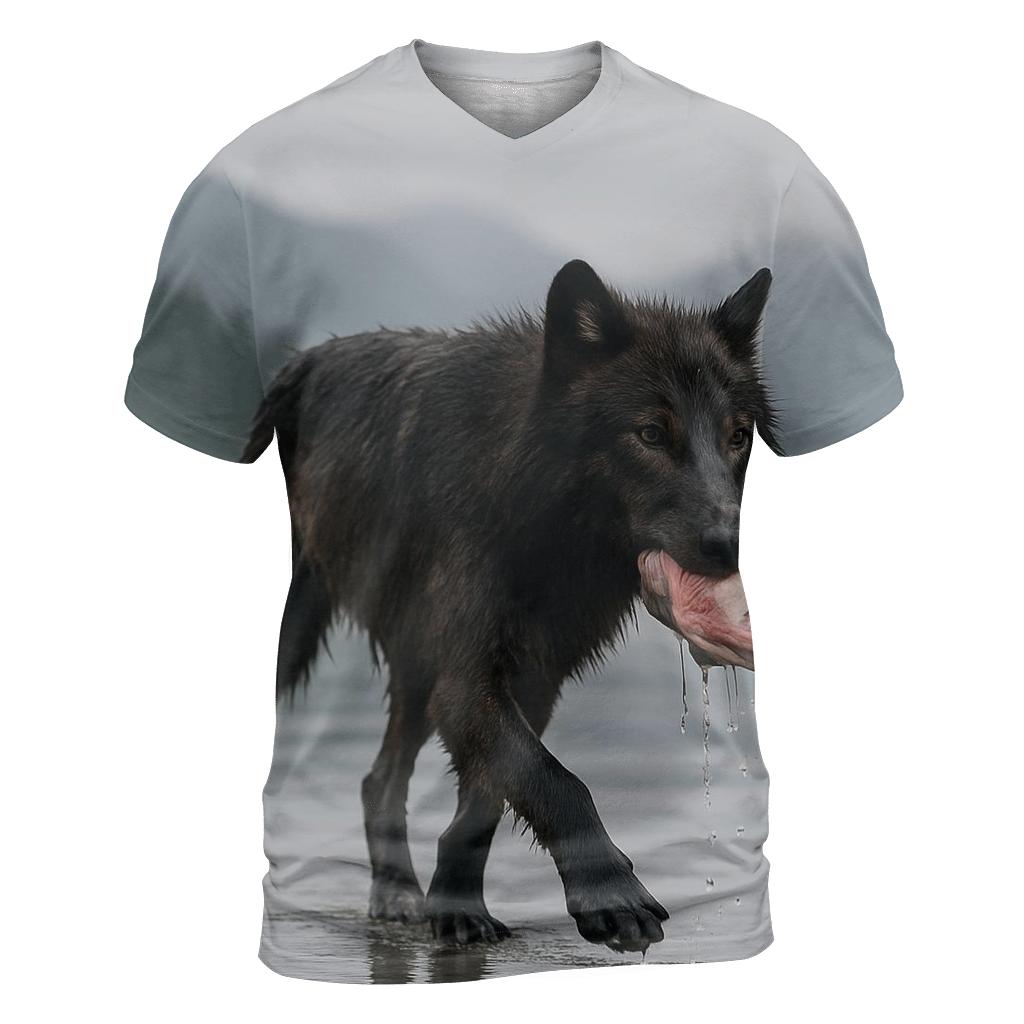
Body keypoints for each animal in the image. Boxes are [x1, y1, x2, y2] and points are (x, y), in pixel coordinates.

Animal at [243, 259, 779, 954]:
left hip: (417, 670)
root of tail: (303, 360)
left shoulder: (533, 678)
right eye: (651, 433)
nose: (730, 546)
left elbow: (489, 801)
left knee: (379, 778)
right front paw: (613, 894)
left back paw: (401, 893)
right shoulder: (470, 678)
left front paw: (456, 904)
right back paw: (394, 895)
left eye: (739, 437)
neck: (534, 512)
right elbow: (558, 782)